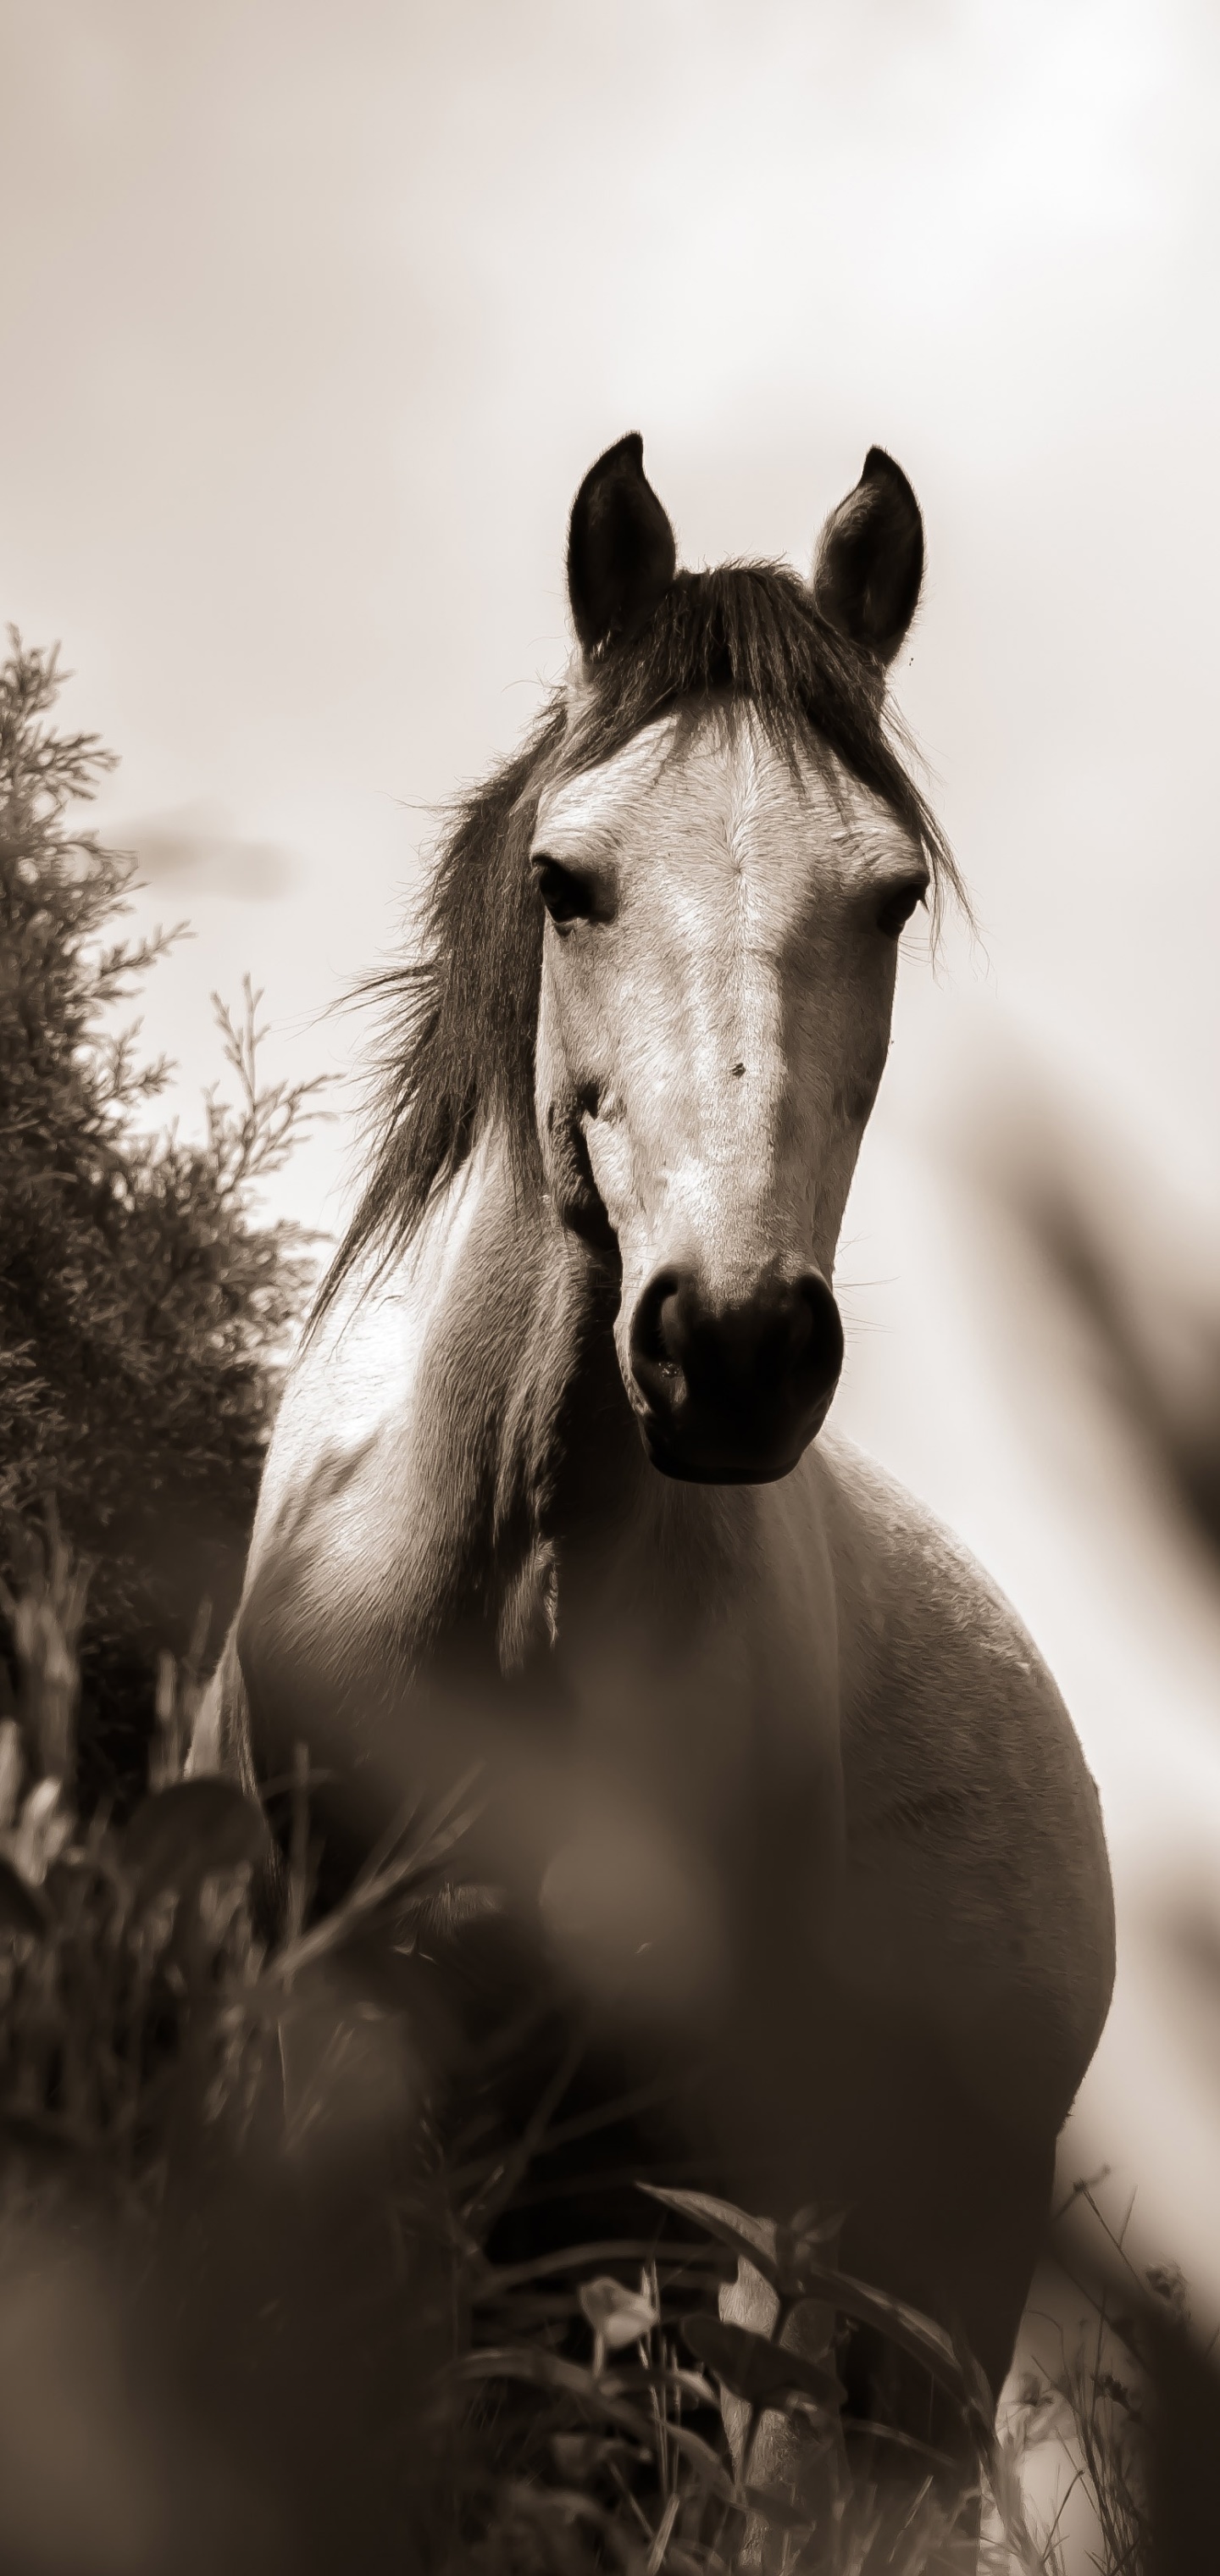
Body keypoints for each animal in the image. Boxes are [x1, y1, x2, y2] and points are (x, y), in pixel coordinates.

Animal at [191, 434, 1116, 2516]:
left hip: (917, 2283)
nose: (737, 1344)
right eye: (570, 881)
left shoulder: (651, 2167)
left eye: (890, 897)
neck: (506, 1573)